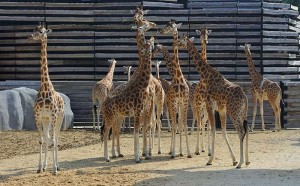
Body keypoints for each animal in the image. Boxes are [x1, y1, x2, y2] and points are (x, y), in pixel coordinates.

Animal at [175, 33, 250, 169]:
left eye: (181, 40)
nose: (175, 44)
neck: (206, 74)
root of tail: (245, 99)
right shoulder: (220, 107)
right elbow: (222, 130)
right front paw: (233, 159)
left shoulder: (209, 103)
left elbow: (213, 129)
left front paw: (210, 160)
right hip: (242, 113)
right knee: (246, 129)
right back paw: (246, 160)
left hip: (233, 112)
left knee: (241, 131)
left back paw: (241, 163)